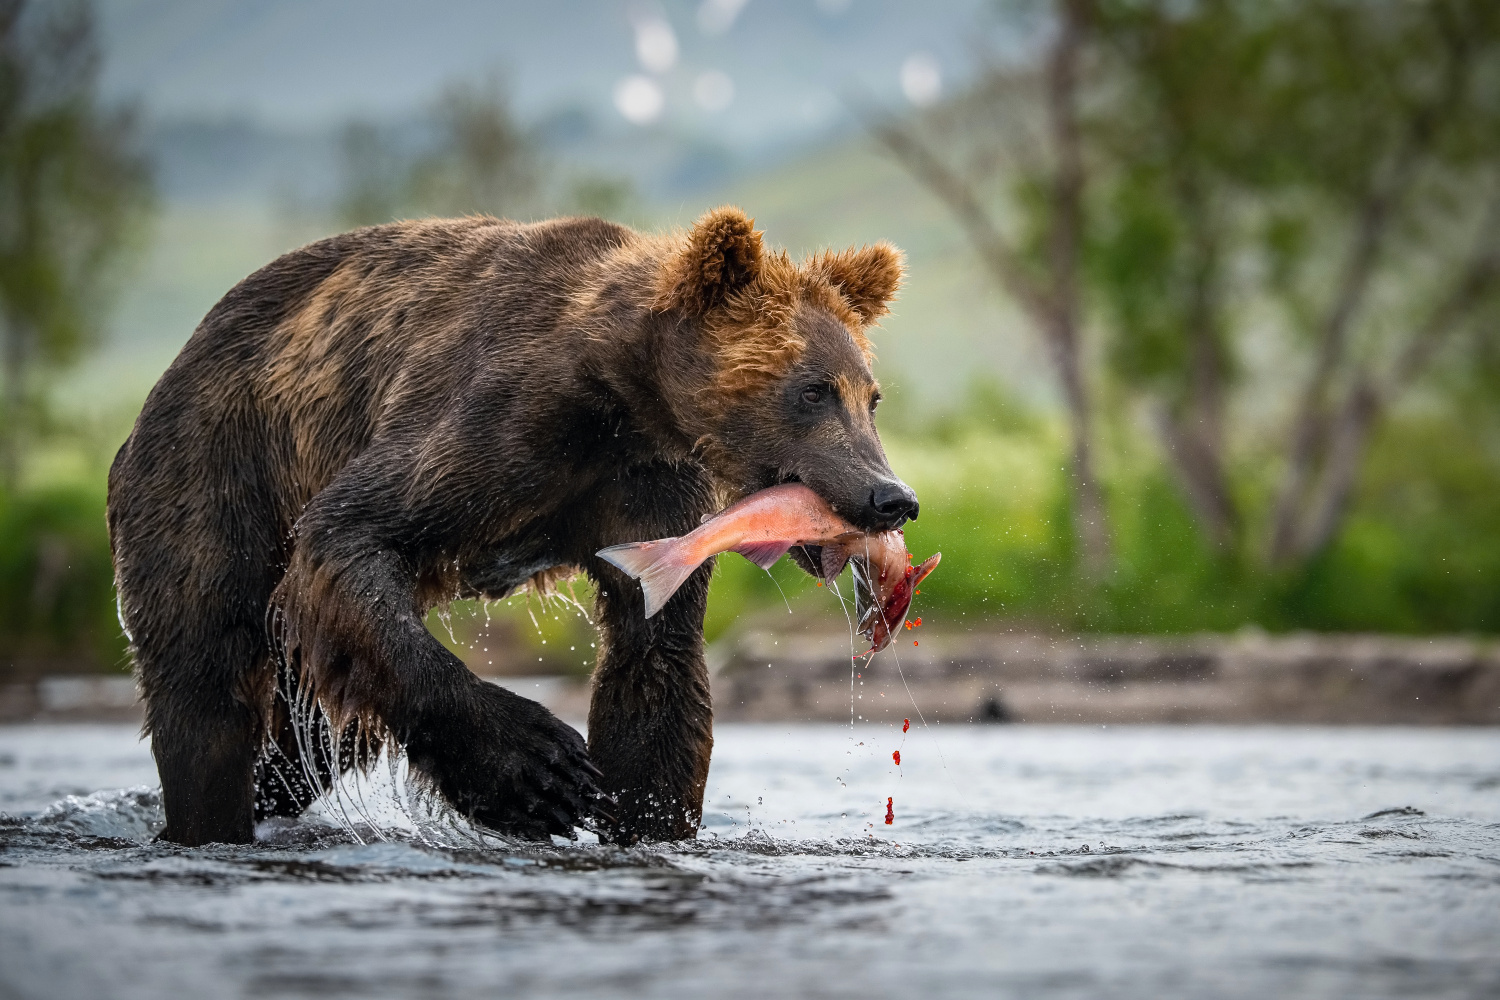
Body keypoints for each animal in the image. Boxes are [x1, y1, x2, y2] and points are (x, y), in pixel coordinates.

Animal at [105, 206, 912, 851]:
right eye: (812, 390)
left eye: (869, 395)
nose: (891, 496)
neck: (620, 391)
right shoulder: (497, 421)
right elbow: (349, 533)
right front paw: (537, 770)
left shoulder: (649, 494)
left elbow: (654, 662)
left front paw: (644, 820)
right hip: (217, 467)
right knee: (206, 682)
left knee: (318, 731)